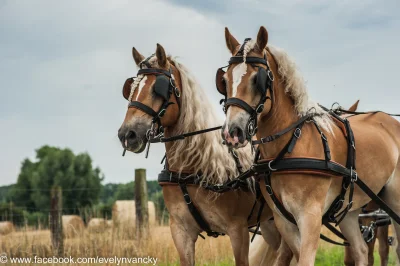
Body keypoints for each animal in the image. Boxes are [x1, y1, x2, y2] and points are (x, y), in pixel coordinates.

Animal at [117, 44, 286, 266]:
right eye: (131, 89)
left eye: (157, 88)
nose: (127, 134)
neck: (194, 167)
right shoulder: (180, 231)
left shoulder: (238, 230)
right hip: (270, 222)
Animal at [220, 25, 400, 266]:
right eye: (225, 79)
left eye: (257, 79)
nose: (232, 132)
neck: (289, 147)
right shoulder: (284, 221)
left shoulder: (311, 217)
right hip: (348, 210)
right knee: (361, 250)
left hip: (394, 200)